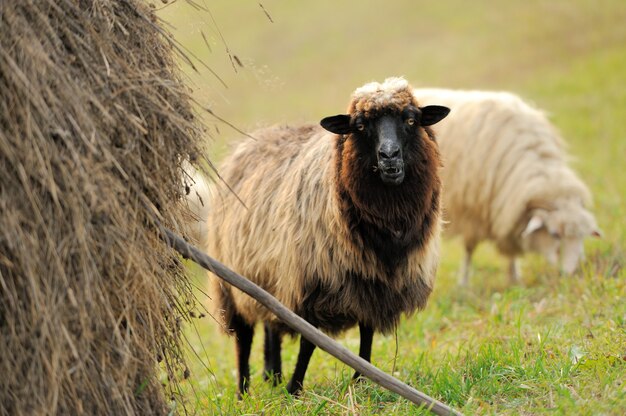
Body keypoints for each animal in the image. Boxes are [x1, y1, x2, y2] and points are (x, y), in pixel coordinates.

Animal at [206, 79, 448, 396]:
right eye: (360, 126)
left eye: (411, 120)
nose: (389, 156)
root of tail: (255, 137)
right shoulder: (311, 283)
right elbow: (309, 341)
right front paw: (295, 388)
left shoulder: (371, 285)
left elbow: (367, 335)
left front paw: (361, 380)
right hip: (232, 282)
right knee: (244, 338)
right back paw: (244, 391)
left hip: (271, 274)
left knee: (272, 324)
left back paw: (273, 375)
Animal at [410, 87, 600, 282]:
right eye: (555, 234)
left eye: (583, 236)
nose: (574, 273)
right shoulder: (472, 213)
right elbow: (469, 248)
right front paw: (463, 282)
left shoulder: (509, 211)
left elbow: (511, 249)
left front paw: (514, 278)